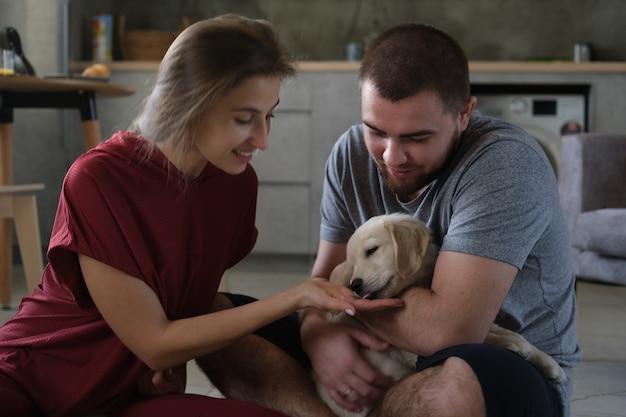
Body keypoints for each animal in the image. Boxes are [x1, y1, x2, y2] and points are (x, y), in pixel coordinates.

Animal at [314, 213, 564, 416]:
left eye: (372, 250)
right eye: (352, 263)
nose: (355, 285)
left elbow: (505, 331)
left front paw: (549, 363)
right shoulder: (412, 348)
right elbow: (482, 337)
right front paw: (514, 346)